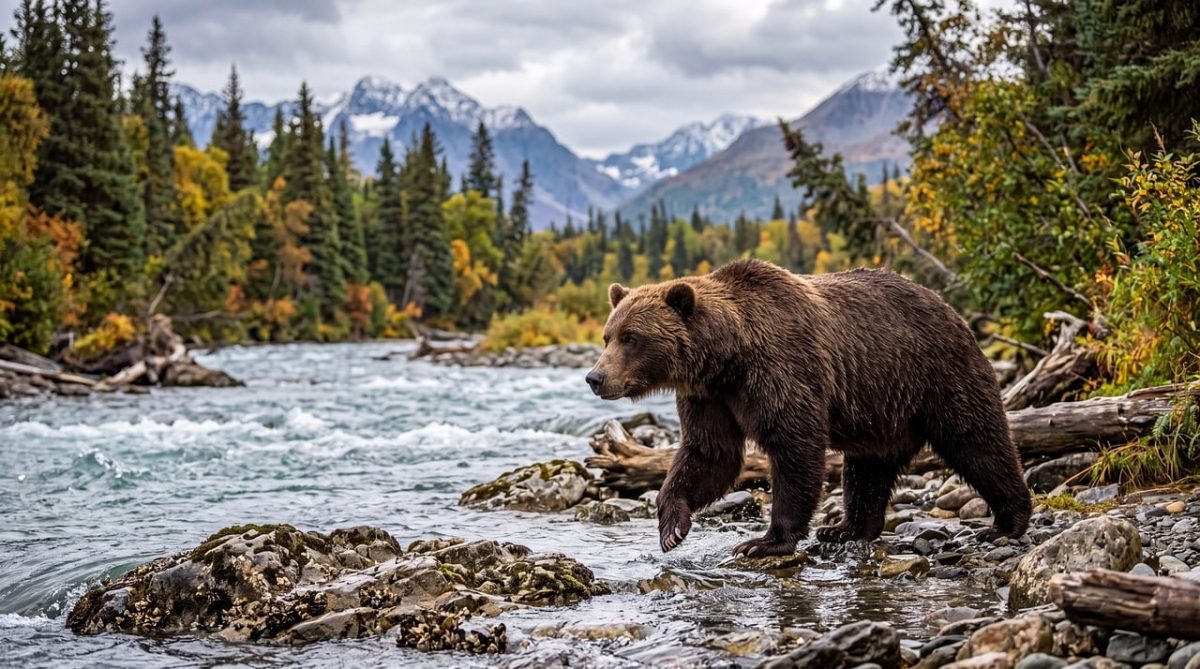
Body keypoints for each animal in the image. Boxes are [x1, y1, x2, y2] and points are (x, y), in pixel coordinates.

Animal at [585, 259, 1031, 557]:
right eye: (608, 335)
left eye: (631, 337)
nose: (595, 377)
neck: (728, 358)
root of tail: (951, 310)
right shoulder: (709, 397)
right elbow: (710, 453)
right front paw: (672, 526)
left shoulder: (783, 368)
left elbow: (794, 447)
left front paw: (764, 541)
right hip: (882, 407)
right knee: (867, 468)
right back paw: (847, 528)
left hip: (936, 376)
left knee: (977, 441)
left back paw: (1007, 521)